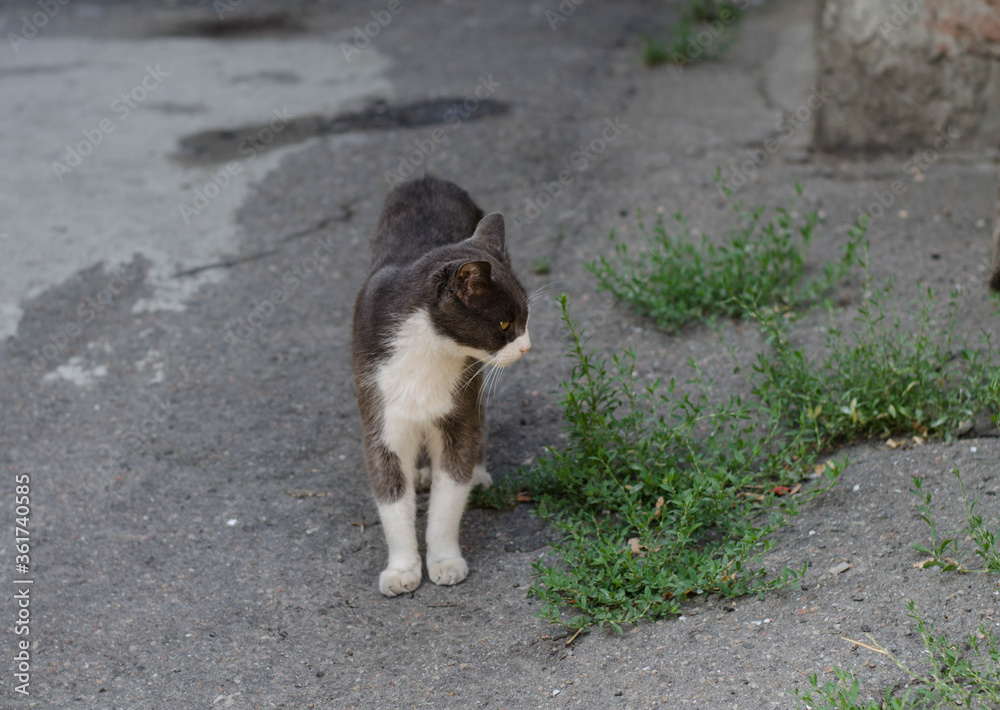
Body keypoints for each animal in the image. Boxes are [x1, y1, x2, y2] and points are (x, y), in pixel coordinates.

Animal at [352, 175, 532, 596]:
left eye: (527, 316)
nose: (527, 346)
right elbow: (391, 498)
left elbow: (449, 496)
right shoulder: (381, 414)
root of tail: (429, 178)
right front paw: (401, 570)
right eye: (504, 323)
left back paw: (477, 473)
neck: (428, 350)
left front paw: (445, 562)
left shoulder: (457, 405)